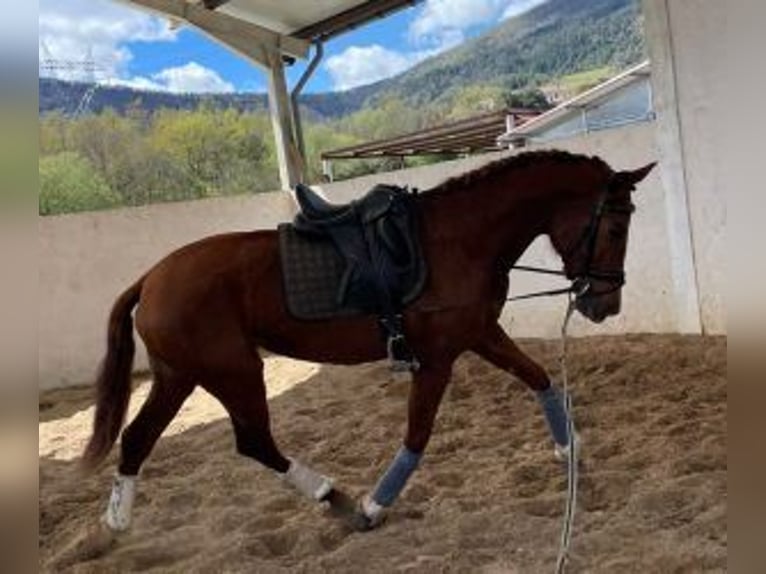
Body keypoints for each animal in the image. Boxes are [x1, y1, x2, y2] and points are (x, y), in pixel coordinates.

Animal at [81, 150, 655, 532]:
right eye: (615, 228)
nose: (604, 306)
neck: (458, 239)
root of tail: (151, 278)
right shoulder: (437, 358)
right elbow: (418, 434)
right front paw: (375, 505)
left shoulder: (478, 333)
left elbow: (538, 376)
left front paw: (568, 448)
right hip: (232, 370)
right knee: (253, 441)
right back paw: (332, 496)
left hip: (180, 375)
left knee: (138, 438)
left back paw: (117, 522)